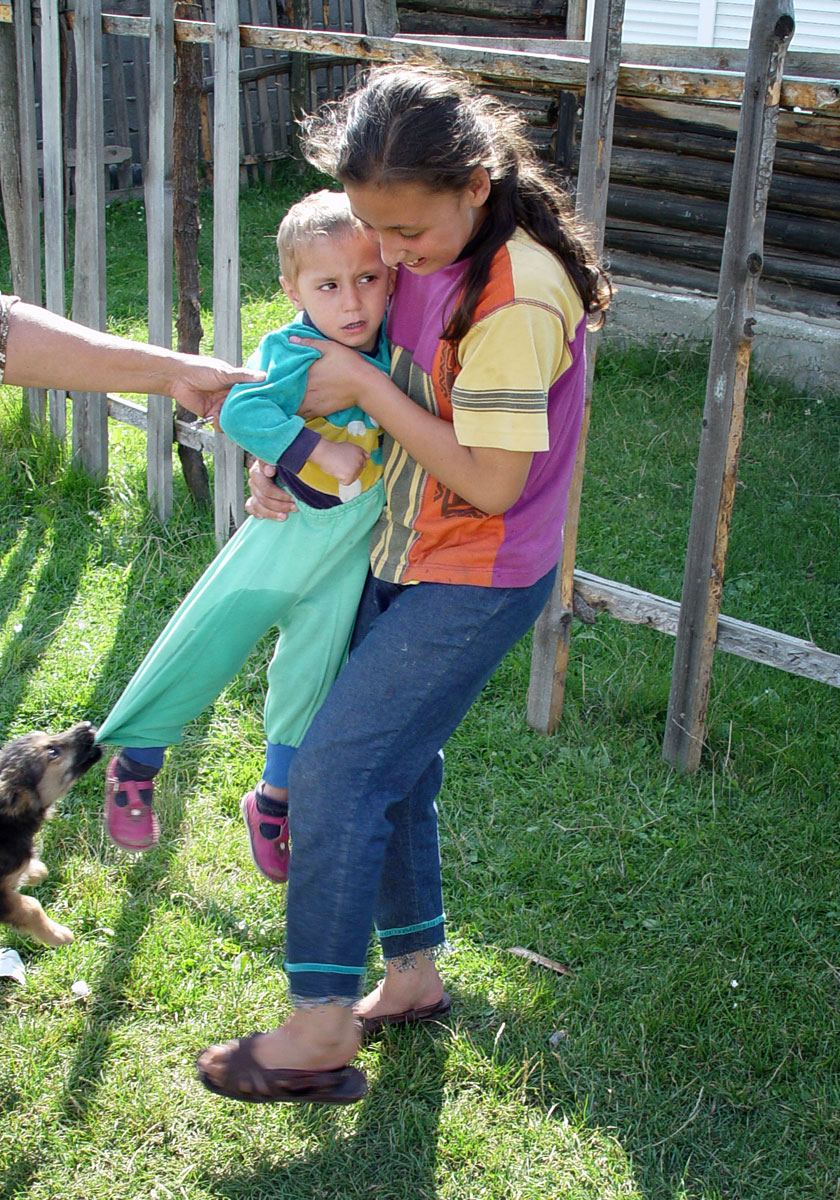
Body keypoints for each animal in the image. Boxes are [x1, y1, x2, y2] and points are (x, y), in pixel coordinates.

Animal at [0, 720, 102, 945]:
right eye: (53, 752)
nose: (87, 725)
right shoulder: (0, 898)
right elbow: (31, 907)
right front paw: (58, 935)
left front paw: (34, 871)